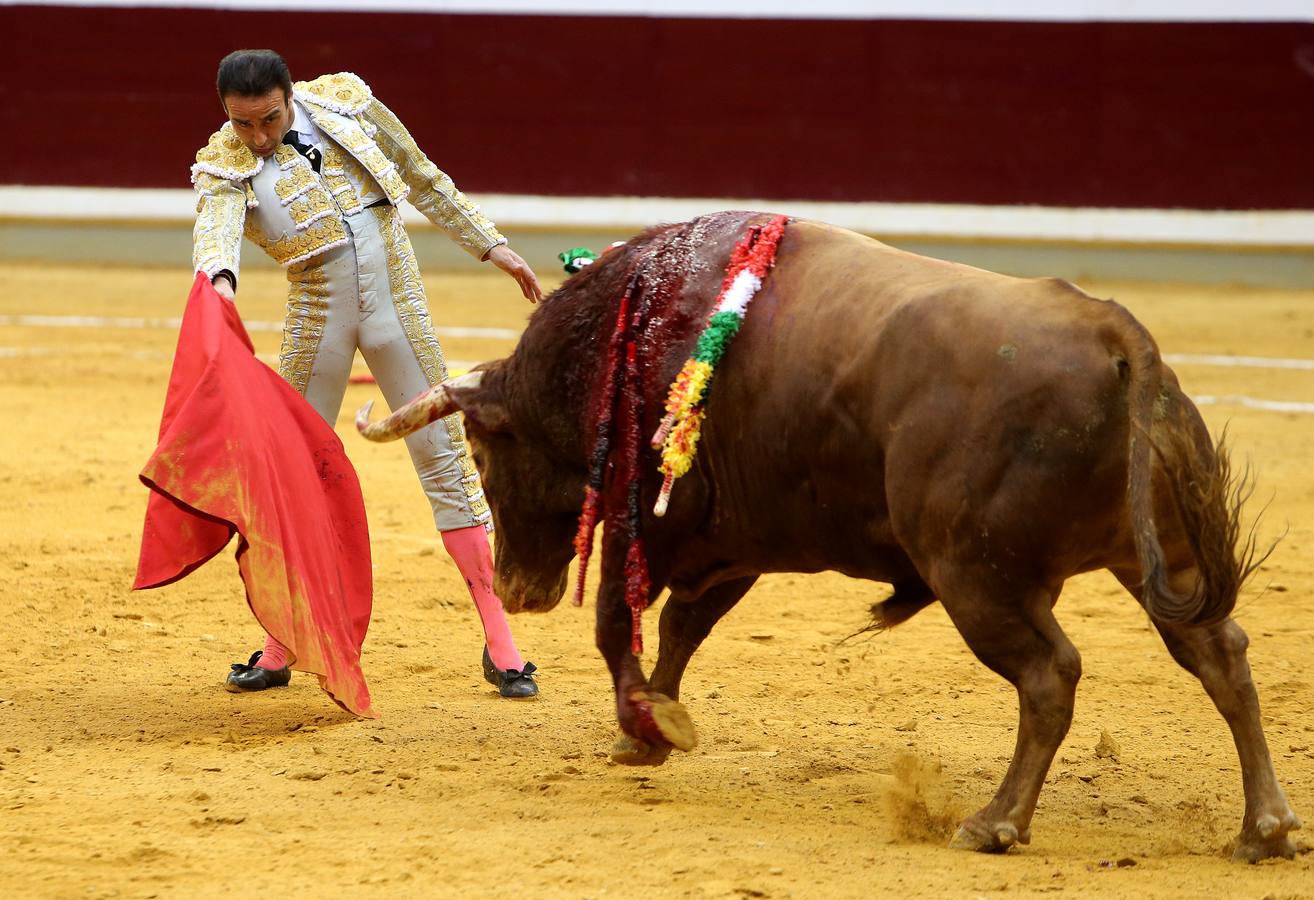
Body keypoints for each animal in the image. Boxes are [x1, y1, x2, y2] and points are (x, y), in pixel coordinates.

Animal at [354, 208, 1298, 856]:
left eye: (482, 451)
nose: (515, 588)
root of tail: (1117, 333)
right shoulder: (728, 539)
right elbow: (680, 627)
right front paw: (652, 725)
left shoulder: (646, 526)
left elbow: (618, 627)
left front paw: (647, 730)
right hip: (1158, 557)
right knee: (1219, 654)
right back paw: (1263, 828)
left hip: (977, 575)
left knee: (1048, 676)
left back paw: (993, 822)